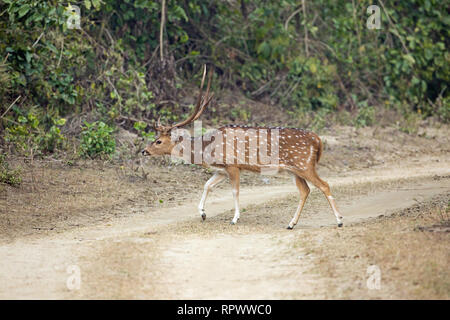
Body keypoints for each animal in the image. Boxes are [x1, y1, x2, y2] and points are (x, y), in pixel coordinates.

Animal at [142, 66, 342, 229]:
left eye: (158, 141)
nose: (144, 151)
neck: (208, 150)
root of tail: (317, 140)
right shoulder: (221, 170)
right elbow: (207, 185)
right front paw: (203, 213)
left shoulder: (233, 165)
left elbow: (235, 191)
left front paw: (234, 219)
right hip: (294, 169)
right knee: (305, 190)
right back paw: (291, 224)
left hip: (304, 164)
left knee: (324, 185)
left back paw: (339, 220)